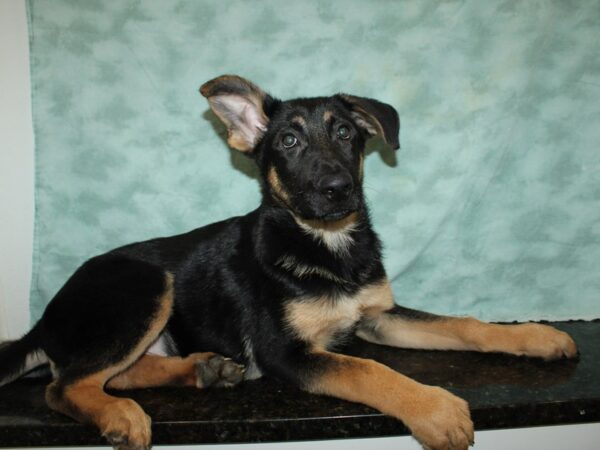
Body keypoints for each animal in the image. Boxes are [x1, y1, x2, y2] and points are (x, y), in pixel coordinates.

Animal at [0, 74, 576, 450]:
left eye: (345, 133)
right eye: (290, 141)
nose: (337, 189)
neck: (327, 245)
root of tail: (43, 321)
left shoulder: (378, 317)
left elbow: (461, 323)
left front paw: (535, 336)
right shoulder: (285, 352)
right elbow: (368, 370)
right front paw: (435, 409)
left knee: (111, 374)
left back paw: (203, 369)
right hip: (146, 284)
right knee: (64, 385)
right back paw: (122, 415)